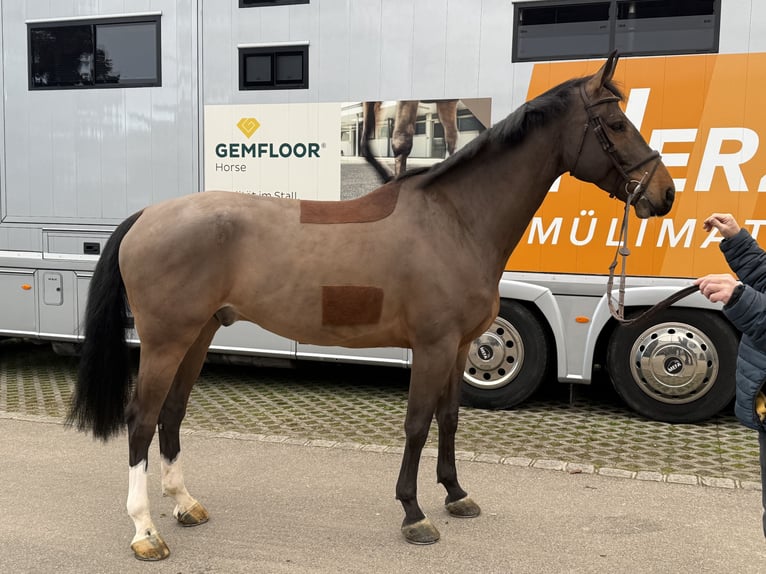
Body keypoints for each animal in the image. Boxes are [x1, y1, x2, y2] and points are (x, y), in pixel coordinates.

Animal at [67, 52, 675, 561]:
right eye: (616, 125)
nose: (664, 194)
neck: (455, 220)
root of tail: (148, 215)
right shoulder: (431, 347)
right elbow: (417, 424)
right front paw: (414, 513)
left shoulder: (458, 348)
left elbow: (450, 419)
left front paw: (456, 494)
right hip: (165, 340)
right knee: (142, 421)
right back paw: (145, 531)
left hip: (198, 335)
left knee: (171, 415)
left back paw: (185, 505)